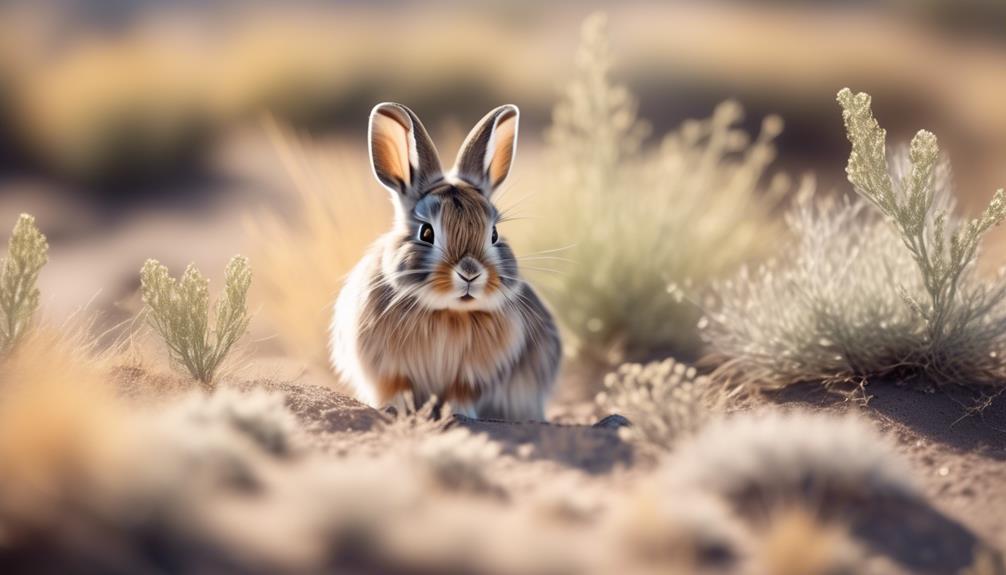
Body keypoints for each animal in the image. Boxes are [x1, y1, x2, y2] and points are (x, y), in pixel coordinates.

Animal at [331, 101, 563, 420]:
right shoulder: (388, 370)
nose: (469, 272)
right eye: (426, 232)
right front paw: (397, 410)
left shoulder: (471, 376)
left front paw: (457, 414)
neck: (446, 312)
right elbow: (398, 389)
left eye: (494, 234)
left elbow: (460, 394)